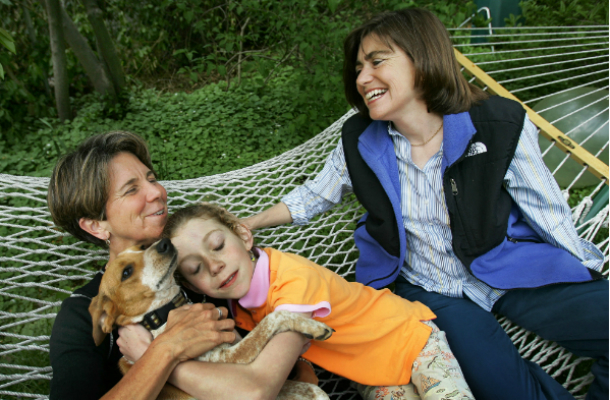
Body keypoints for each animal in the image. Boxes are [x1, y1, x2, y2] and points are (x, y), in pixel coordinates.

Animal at [88, 239, 330, 400]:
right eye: (126, 272)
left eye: (141, 246)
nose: (164, 242)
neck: (166, 312)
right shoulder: (230, 358)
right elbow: (273, 317)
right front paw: (314, 327)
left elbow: (313, 389)